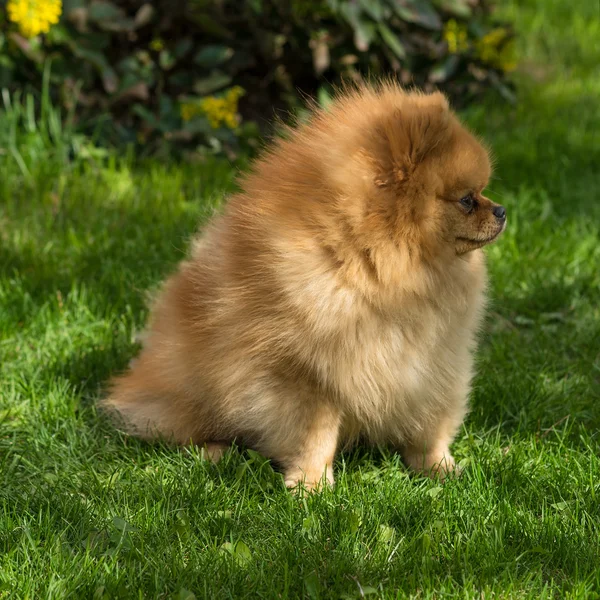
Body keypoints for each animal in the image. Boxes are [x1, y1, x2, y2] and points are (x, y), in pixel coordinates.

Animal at [101, 82, 504, 490]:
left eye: (481, 193)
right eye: (467, 200)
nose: (501, 211)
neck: (376, 269)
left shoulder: (434, 362)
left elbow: (429, 427)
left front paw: (439, 468)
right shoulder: (304, 378)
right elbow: (314, 437)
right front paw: (311, 485)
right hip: (190, 390)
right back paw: (214, 451)